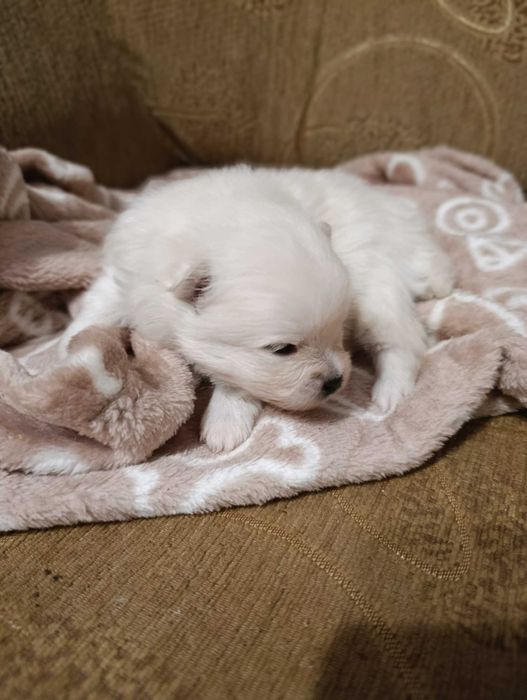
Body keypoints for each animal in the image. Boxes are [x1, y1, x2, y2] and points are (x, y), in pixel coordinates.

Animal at [61, 165, 454, 452]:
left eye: (337, 329)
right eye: (283, 349)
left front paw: (224, 426)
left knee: (402, 342)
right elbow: (100, 304)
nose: (336, 381)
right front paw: (66, 346)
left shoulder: (242, 363)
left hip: (377, 287)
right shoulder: (123, 275)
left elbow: (238, 383)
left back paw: (390, 393)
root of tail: (411, 230)